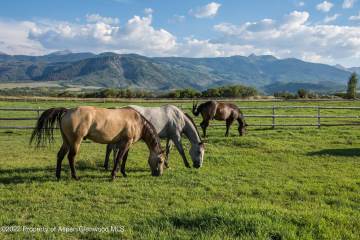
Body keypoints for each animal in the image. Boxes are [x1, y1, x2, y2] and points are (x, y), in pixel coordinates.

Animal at [29, 105, 165, 180]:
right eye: (160, 161)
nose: (158, 174)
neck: (137, 121)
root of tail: (67, 111)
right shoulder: (126, 143)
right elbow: (119, 158)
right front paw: (113, 175)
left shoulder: (127, 144)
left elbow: (124, 158)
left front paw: (124, 173)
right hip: (75, 141)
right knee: (71, 157)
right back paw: (75, 176)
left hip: (66, 141)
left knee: (60, 155)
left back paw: (58, 176)